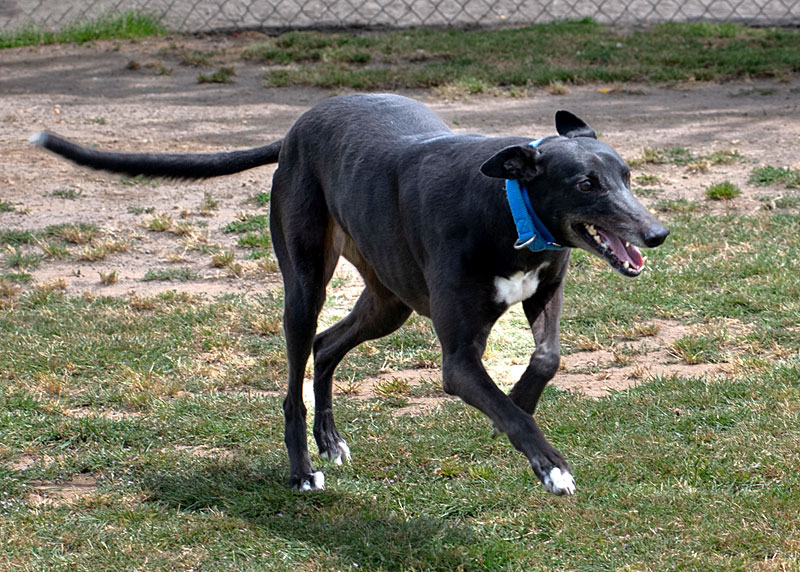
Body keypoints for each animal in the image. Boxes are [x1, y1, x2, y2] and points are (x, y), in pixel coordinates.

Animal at [31, 95, 664, 496]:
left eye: (627, 176)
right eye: (586, 184)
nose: (657, 233)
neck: (509, 206)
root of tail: (296, 129)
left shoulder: (544, 290)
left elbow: (546, 358)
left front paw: (521, 401)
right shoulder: (458, 361)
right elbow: (505, 407)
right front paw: (549, 466)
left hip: (388, 303)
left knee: (328, 346)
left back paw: (330, 440)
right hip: (304, 286)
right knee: (296, 376)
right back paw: (302, 469)